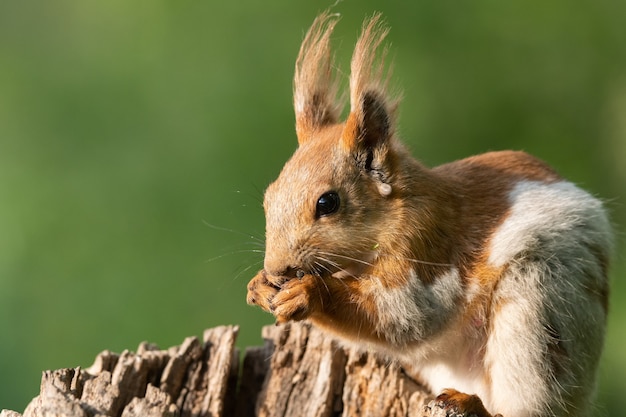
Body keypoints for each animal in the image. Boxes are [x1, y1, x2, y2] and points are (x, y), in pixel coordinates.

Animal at [245, 12, 608, 416]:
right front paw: (259, 286)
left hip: (539, 314)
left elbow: (406, 316)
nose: (278, 269)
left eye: (328, 203)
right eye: (268, 197)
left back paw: (472, 403)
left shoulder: (428, 250)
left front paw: (308, 293)